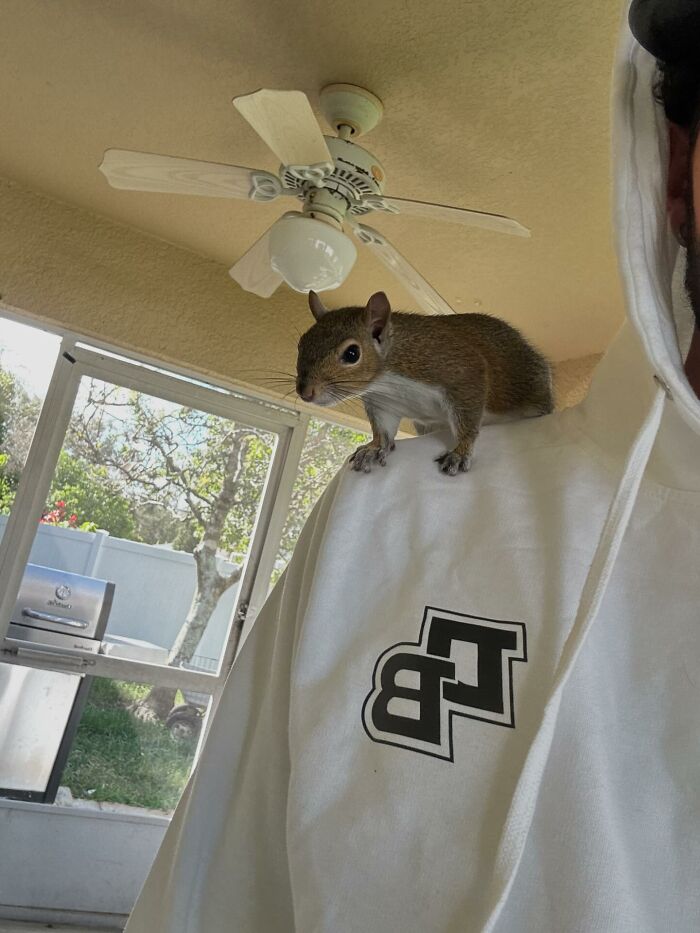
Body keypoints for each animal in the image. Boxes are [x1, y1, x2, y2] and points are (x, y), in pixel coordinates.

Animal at [296, 290, 552, 474]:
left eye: (352, 354)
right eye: (301, 344)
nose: (305, 392)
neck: (385, 381)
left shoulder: (460, 370)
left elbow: (468, 420)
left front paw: (460, 451)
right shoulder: (382, 404)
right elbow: (383, 431)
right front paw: (374, 448)